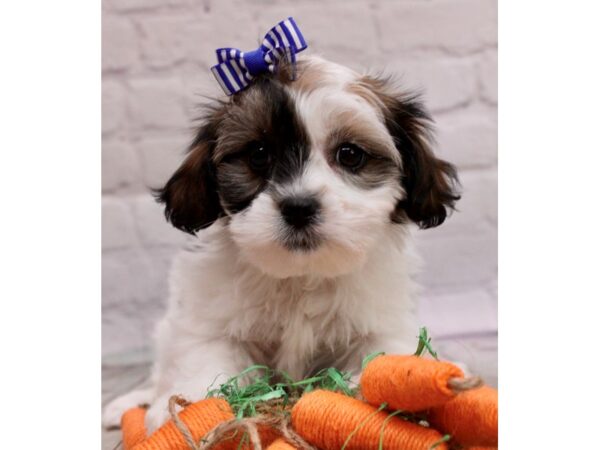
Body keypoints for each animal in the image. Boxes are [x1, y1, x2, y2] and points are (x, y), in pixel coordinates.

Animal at [103, 54, 460, 430]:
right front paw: (185, 410)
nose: (299, 207)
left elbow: (383, 356)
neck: (300, 276)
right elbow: (205, 358)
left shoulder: (381, 323)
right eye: (259, 154)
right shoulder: (209, 322)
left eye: (350, 154)